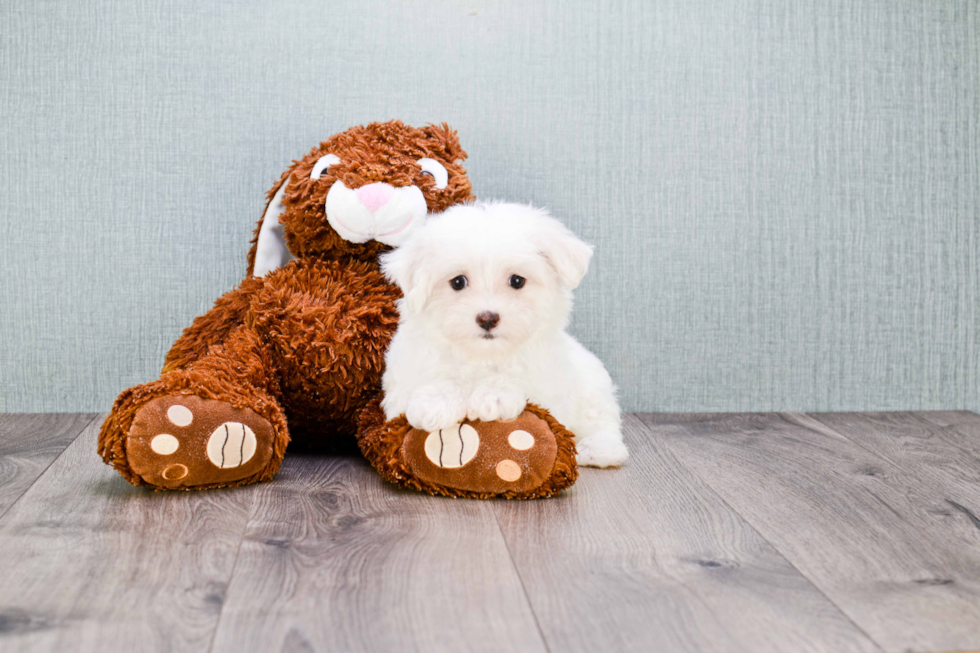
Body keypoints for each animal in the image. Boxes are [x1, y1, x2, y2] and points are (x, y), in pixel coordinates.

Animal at [378, 201, 632, 466]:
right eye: (458, 282)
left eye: (517, 281)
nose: (488, 318)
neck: (483, 356)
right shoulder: (404, 379)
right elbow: (435, 378)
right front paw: (435, 401)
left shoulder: (547, 381)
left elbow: (517, 377)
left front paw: (493, 396)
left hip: (592, 388)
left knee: (603, 422)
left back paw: (597, 448)